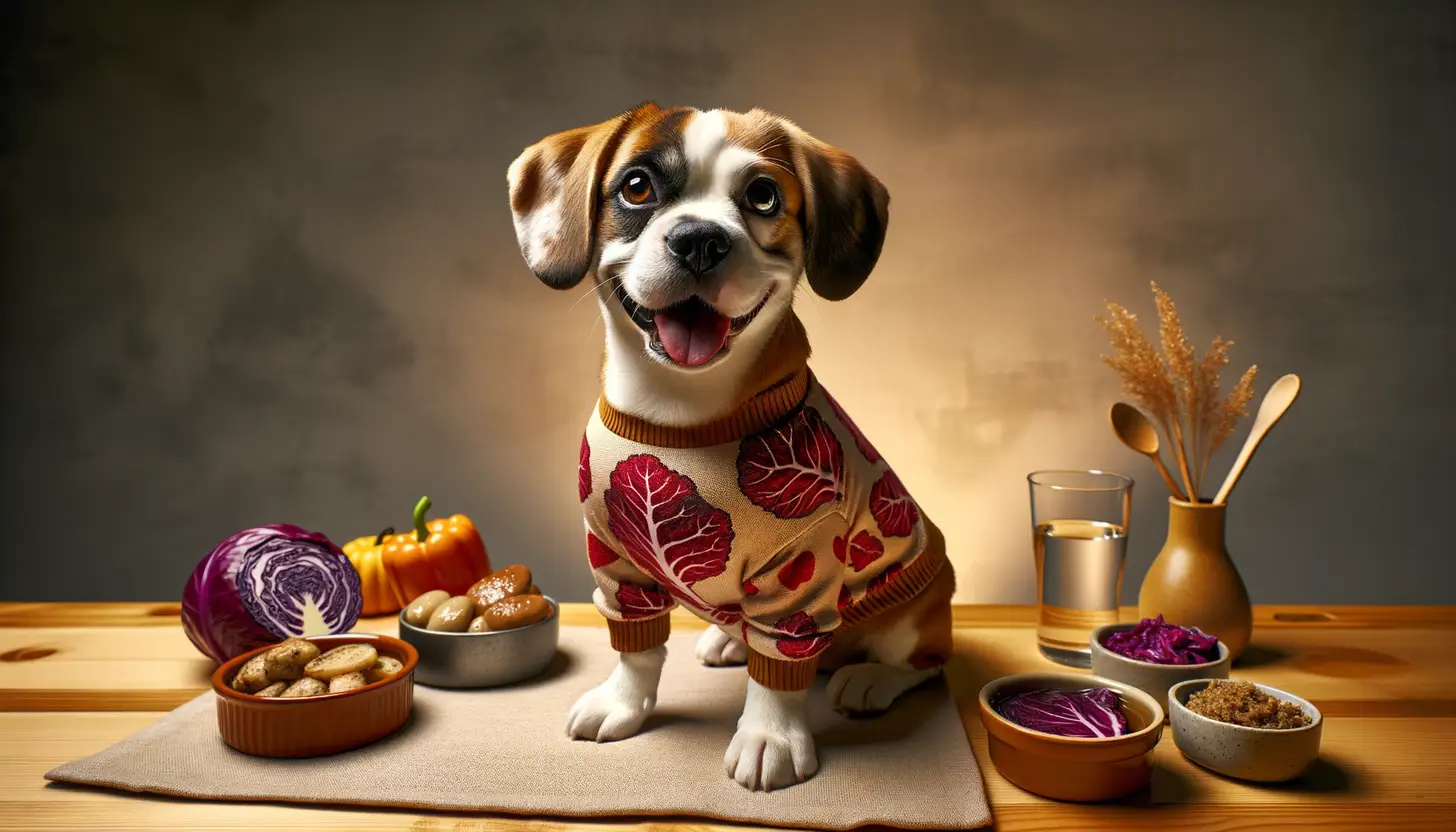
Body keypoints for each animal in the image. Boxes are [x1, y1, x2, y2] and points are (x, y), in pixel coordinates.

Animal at [503, 104, 955, 792]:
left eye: (762, 196)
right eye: (637, 187)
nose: (699, 239)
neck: (681, 412)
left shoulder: (800, 576)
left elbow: (779, 671)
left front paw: (770, 737)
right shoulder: (614, 554)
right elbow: (635, 645)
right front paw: (623, 703)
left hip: (912, 606)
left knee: (923, 661)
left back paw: (869, 677)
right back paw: (730, 640)